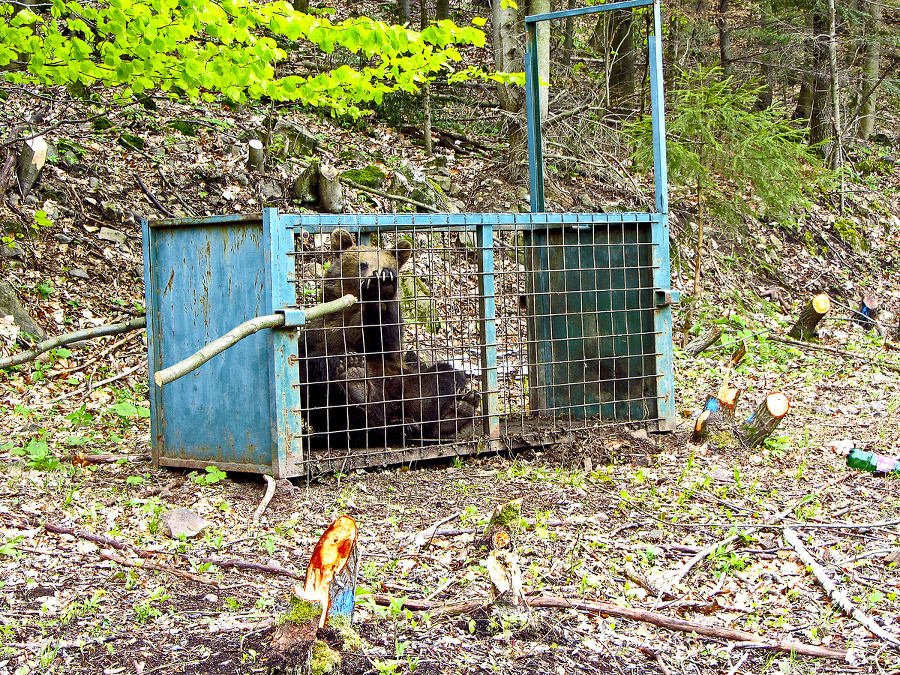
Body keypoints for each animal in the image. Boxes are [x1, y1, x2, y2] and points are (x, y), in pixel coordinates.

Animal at [296, 228, 478, 448]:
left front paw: (383, 290)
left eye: (386, 266)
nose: (377, 277)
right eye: (362, 264)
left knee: (442, 377)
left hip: (405, 383)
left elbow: (386, 337)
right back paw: (356, 381)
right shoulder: (321, 328)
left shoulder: (388, 340)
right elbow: (311, 358)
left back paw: (455, 413)